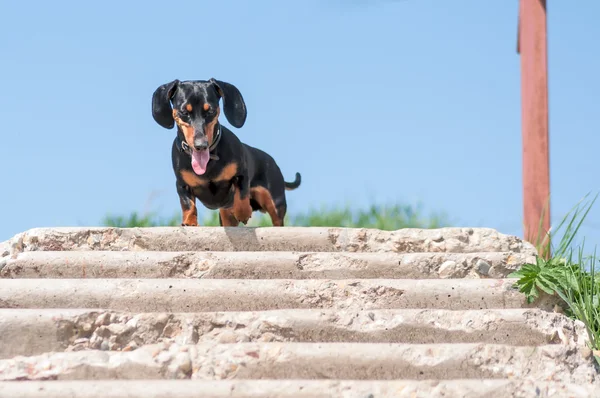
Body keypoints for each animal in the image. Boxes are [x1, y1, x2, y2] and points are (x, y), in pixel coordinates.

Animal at [150, 78, 300, 227]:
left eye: (210, 111)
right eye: (184, 112)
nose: (201, 145)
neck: (209, 162)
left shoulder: (241, 174)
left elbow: (242, 194)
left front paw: (243, 212)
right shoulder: (182, 185)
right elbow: (188, 204)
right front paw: (189, 221)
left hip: (275, 202)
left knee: (277, 220)